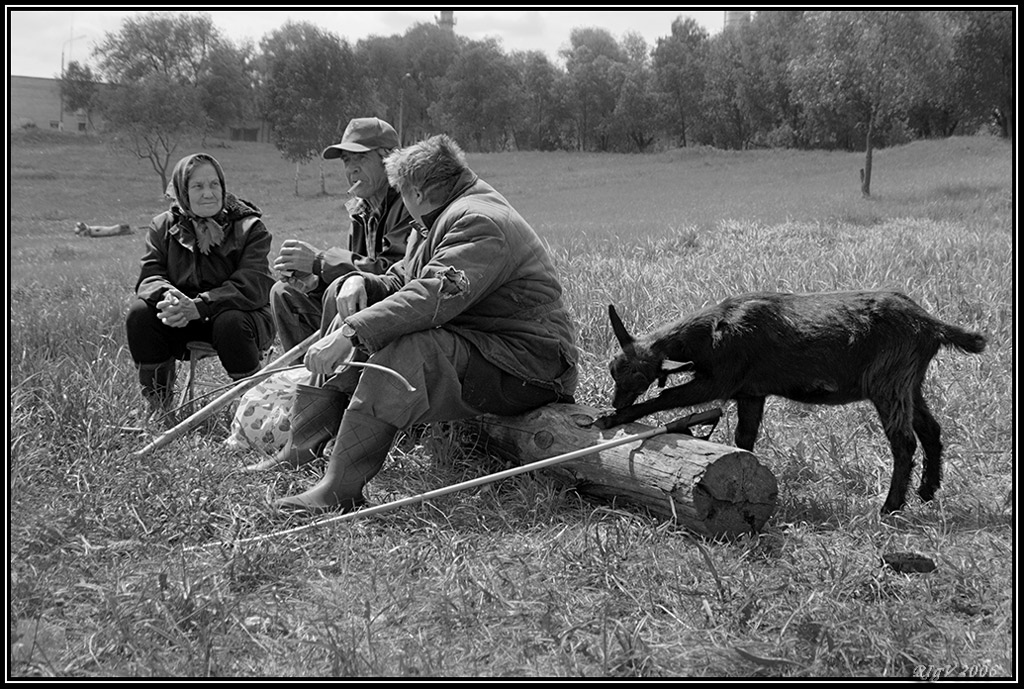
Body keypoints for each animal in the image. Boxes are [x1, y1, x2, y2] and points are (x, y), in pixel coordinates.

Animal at [598, 288, 987, 509]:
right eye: (612, 368)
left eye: (636, 377)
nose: (618, 402)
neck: (713, 330)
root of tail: (931, 325)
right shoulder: (751, 392)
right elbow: (745, 437)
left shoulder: (720, 380)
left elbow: (666, 397)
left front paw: (612, 419)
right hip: (910, 381)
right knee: (931, 429)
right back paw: (926, 492)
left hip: (888, 381)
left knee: (904, 441)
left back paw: (891, 507)